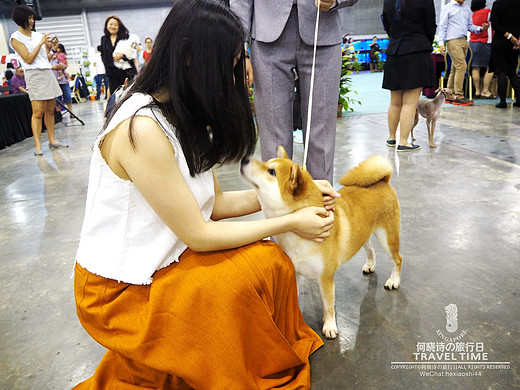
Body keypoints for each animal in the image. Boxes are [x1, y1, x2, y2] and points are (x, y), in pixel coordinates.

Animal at [242, 146, 404, 338]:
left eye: (271, 171)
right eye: (267, 162)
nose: (244, 159)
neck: (297, 235)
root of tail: (383, 181)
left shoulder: (325, 278)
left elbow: (328, 306)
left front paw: (329, 326)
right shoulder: (295, 272)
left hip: (386, 237)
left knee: (397, 259)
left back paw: (394, 280)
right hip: (363, 234)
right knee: (370, 248)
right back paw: (370, 265)